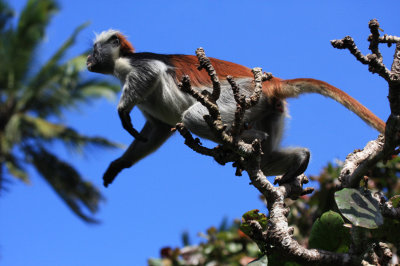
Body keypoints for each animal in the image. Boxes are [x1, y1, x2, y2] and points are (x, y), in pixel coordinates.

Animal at [86, 29, 384, 187]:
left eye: (93, 50)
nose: (88, 59)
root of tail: (274, 82)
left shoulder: (136, 64)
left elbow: (152, 71)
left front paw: (123, 111)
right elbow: (156, 128)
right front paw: (120, 164)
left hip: (241, 94)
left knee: (193, 117)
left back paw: (246, 140)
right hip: (268, 108)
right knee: (268, 151)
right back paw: (296, 158)